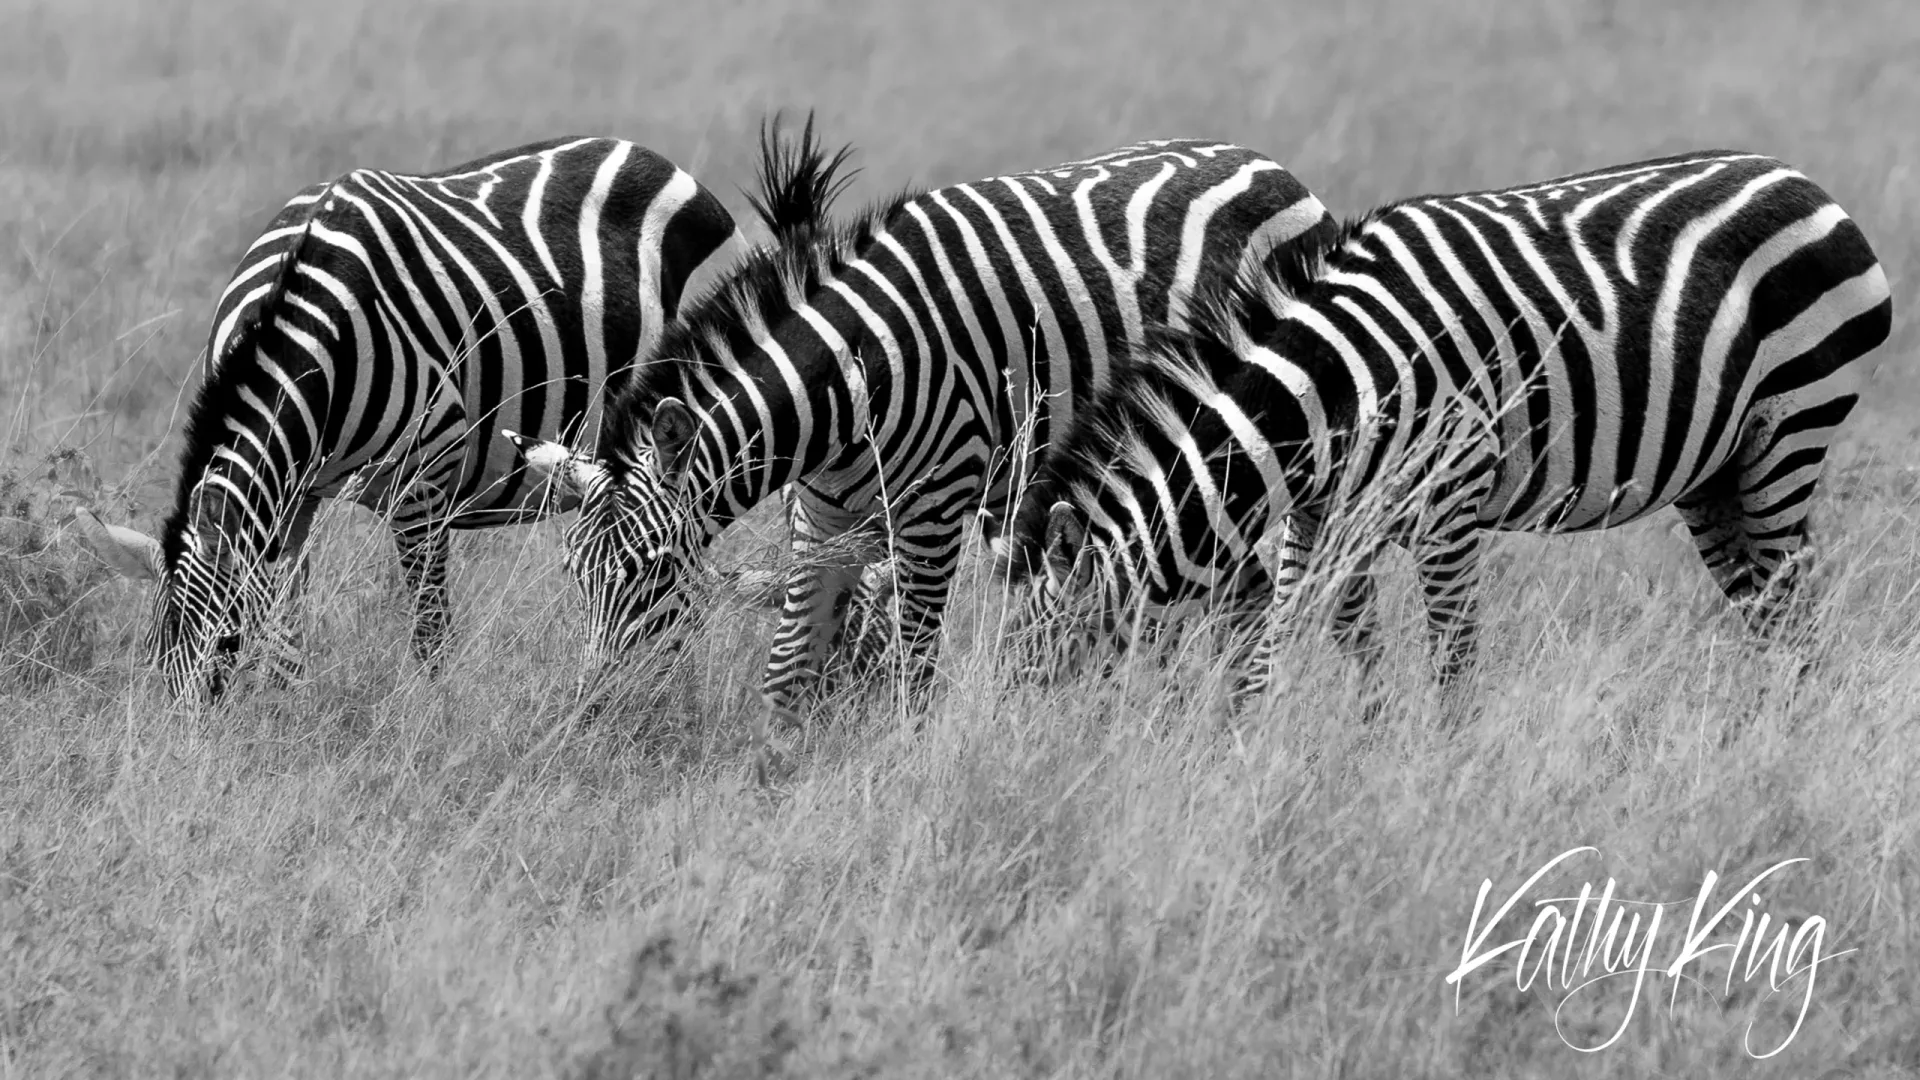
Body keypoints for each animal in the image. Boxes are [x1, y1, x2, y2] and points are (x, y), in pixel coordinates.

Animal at [77, 136, 746, 701]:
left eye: (225, 645)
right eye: (152, 660)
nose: (193, 752)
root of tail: (643, 152)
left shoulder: (423, 484)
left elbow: (429, 630)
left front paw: (428, 714)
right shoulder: (292, 496)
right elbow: (285, 620)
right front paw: (283, 707)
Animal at [507, 123, 1336, 764]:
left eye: (654, 572)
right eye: (576, 577)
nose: (595, 713)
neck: (843, 388)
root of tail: (1266, 164)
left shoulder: (933, 512)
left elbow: (911, 664)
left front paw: (900, 776)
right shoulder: (824, 521)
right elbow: (788, 664)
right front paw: (775, 780)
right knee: (1246, 597)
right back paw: (1226, 732)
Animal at [1000, 149, 1893, 712]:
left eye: (1048, 650)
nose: (1021, 752)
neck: (1331, 396)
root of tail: (1801, 180)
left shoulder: (1449, 510)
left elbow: (1454, 662)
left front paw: (1441, 771)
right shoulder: (1321, 519)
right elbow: (1288, 644)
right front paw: (1261, 755)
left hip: (1789, 432)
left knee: (1792, 609)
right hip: (1716, 474)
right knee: (1766, 615)